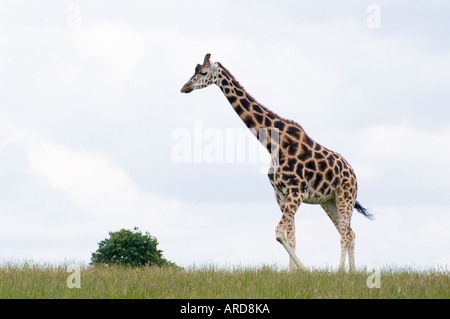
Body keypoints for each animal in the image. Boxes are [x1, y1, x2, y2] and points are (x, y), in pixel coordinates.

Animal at [179, 53, 372, 272]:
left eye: (203, 72)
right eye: (193, 71)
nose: (184, 87)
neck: (273, 143)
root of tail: (353, 174)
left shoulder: (296, 192)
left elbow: (279, 233)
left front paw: (304, 270)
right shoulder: (281, 194)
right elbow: (291, 237)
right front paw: (292, 274)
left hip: (345, 196)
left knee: (346, 234)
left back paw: (340, 272)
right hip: (328, 201)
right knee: (349, 232)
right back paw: (352, 272)